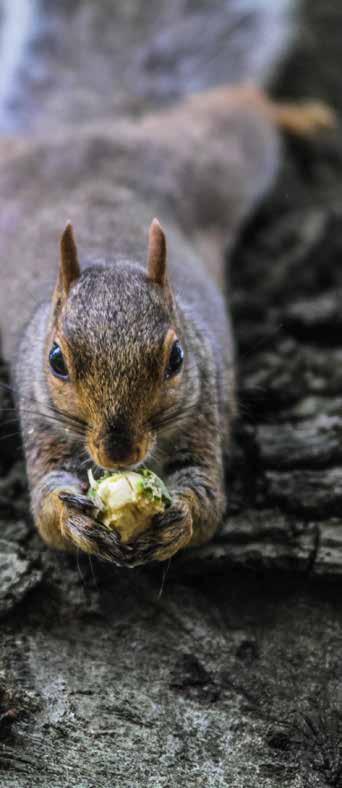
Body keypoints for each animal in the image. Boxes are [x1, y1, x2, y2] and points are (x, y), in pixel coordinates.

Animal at [0, 4, 334, 568]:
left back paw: (300, 115)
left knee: (245, 105)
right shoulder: (41, 420)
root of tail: (100, 127)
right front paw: (74, 519)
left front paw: (178, 519)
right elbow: (46, 511)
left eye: (176, 358)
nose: (119, 454)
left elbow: (209, 502)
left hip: (215, 158)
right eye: (56, 360)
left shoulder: (203, 410)